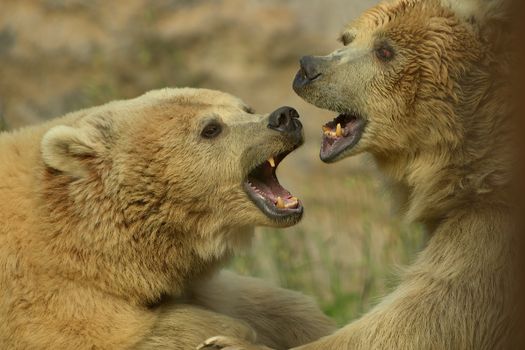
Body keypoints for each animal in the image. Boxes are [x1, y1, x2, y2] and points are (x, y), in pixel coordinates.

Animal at [0, 88, 336, 350]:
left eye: (246, 108)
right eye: (211, 128)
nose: (284, 117)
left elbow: (272, 304)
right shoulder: (45, 297)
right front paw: (228, 334)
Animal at [201, 0, 512, 348]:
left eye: (385, 50)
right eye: (347, 38)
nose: (308, 67)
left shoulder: (490, 232)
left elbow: (423, 317)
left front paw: (228, 341)